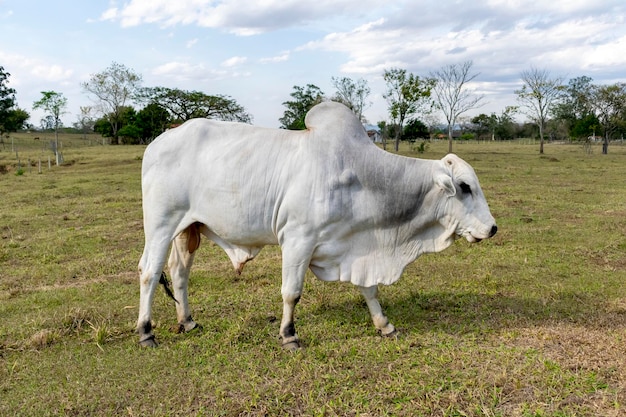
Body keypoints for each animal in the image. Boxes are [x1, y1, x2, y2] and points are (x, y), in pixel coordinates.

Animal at [135, 101, 492, 348]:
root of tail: (159, 140)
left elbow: (369, 289)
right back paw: (146, 332)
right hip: (161, 225)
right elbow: (291, 292)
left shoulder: (354, 247)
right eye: (464, 187)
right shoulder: (297, 240)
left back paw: (187, 321)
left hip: (187, 229)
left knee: (179, 273)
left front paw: (384, 324)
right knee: (149, 272)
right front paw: (289, 335)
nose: (492, 228)